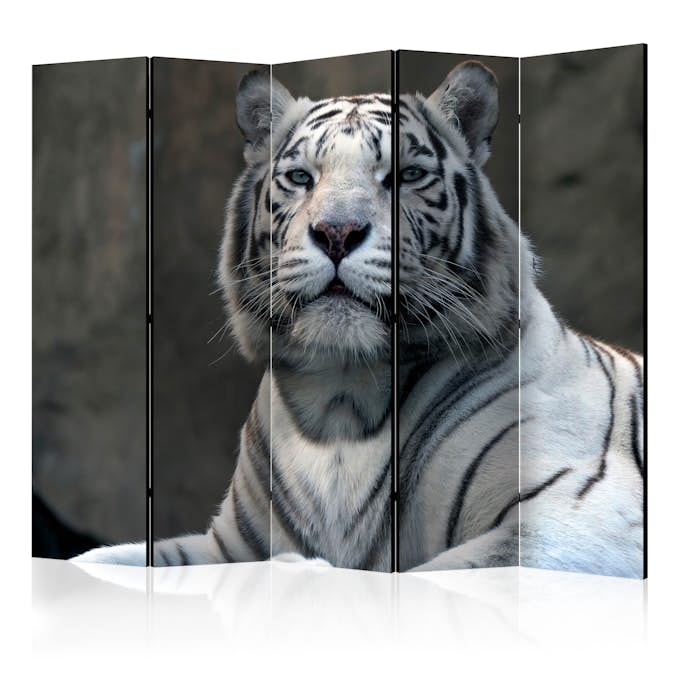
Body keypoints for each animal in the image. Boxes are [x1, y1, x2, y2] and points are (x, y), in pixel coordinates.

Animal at [72, 61, 644, 578]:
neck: (338, 402)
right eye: (300, 177)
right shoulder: (227, 545)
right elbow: (102, 560)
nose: (337, 232)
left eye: (407, 175)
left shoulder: (578, 518)